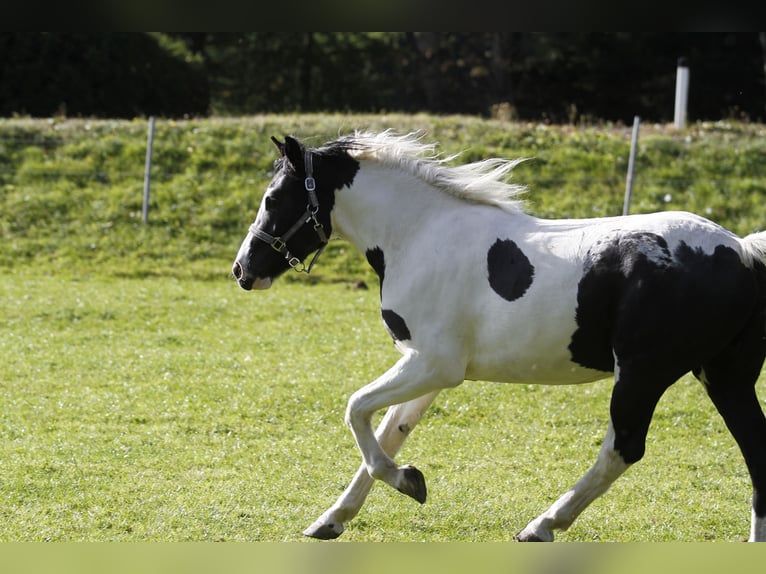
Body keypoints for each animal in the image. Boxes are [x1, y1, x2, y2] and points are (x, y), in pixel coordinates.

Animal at [231, 128, 766, 544]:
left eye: (273, 199)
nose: (242, 270)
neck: (418, 234)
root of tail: (741, 250)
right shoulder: (424, 369)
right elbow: (387, 434)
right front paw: (332, 519)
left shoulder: (435, 365)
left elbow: (357, 411)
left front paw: (409, 482)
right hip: (724, 377)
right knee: (754, 448)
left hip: (642, 374)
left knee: (622, 449)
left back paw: (541, 525)